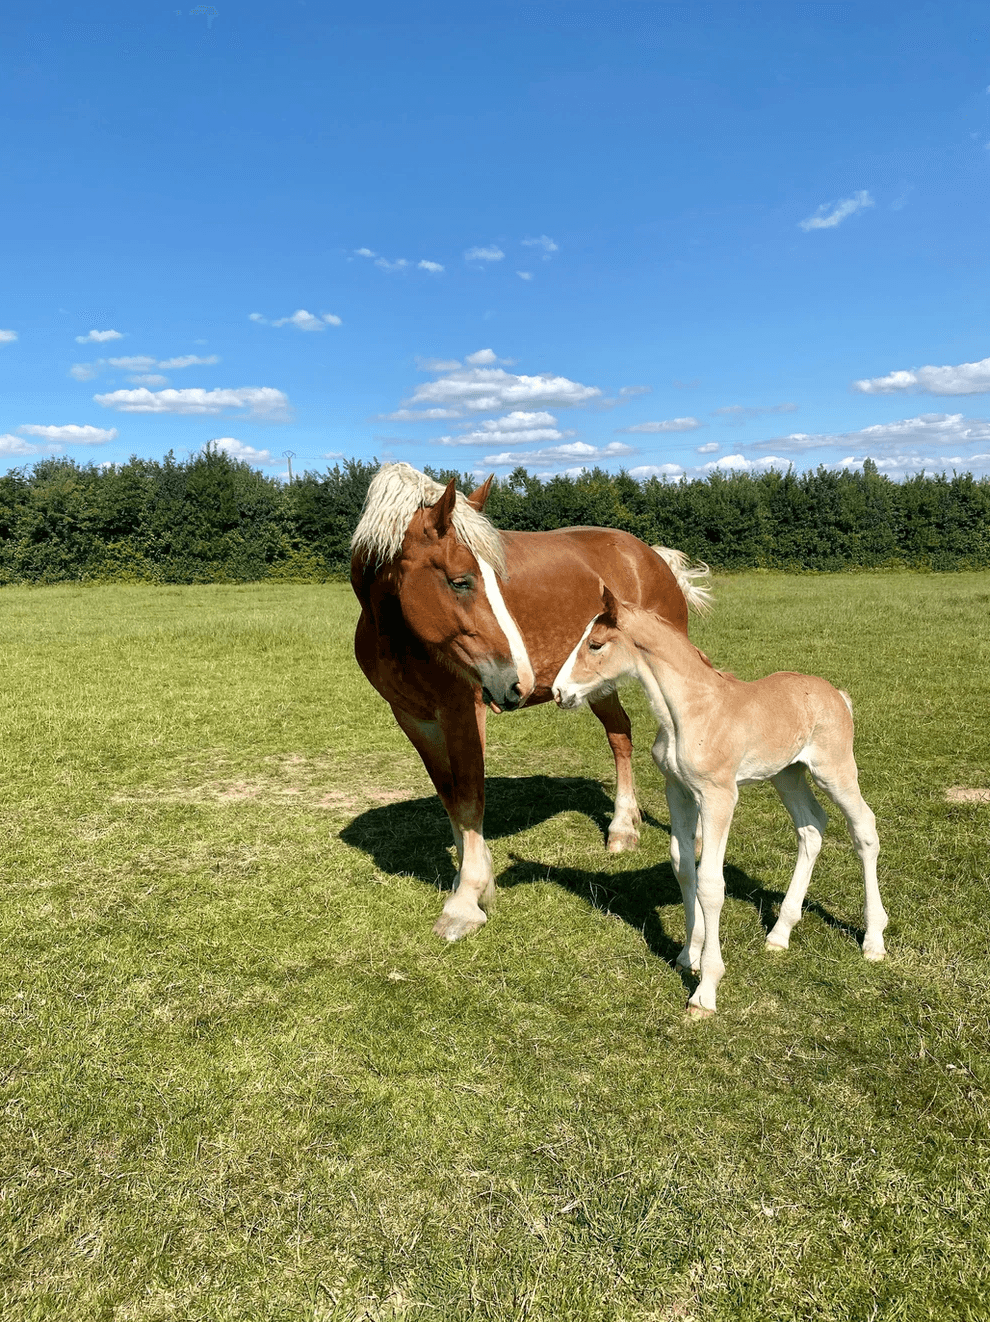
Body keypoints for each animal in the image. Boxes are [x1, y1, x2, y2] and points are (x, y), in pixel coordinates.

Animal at [350, 462, 712, 941]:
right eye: (460, 581)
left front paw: (467, 899)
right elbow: (450, 798)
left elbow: (470, 798)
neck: (400, 636)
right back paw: (623, 826)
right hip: (599, 684)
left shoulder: (464, 714)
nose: (519, 681)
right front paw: (473, 879)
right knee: (620, 737)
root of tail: (648, 554)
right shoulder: (414, 719)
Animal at [552, 584, 886, 1016]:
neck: (691, 711)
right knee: (812, 826)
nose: (559, 692)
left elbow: (711, 883)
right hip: (788, 775)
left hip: (835, 770)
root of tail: (838, 695)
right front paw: (687, 955)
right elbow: (683, 867)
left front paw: (705, 990)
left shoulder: (718, 796)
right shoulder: (678, 791)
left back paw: (873, 940)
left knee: (864, 828)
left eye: (595, 644)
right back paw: (779, 934)